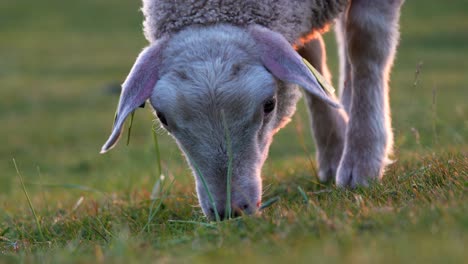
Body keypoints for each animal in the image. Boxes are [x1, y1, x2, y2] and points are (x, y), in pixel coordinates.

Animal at [100, 0, 404, 220]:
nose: (230, 211)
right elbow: (310, 58)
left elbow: (365, 40)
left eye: (269, 105)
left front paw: (361, 163)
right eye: (163, 119)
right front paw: (334, 152)